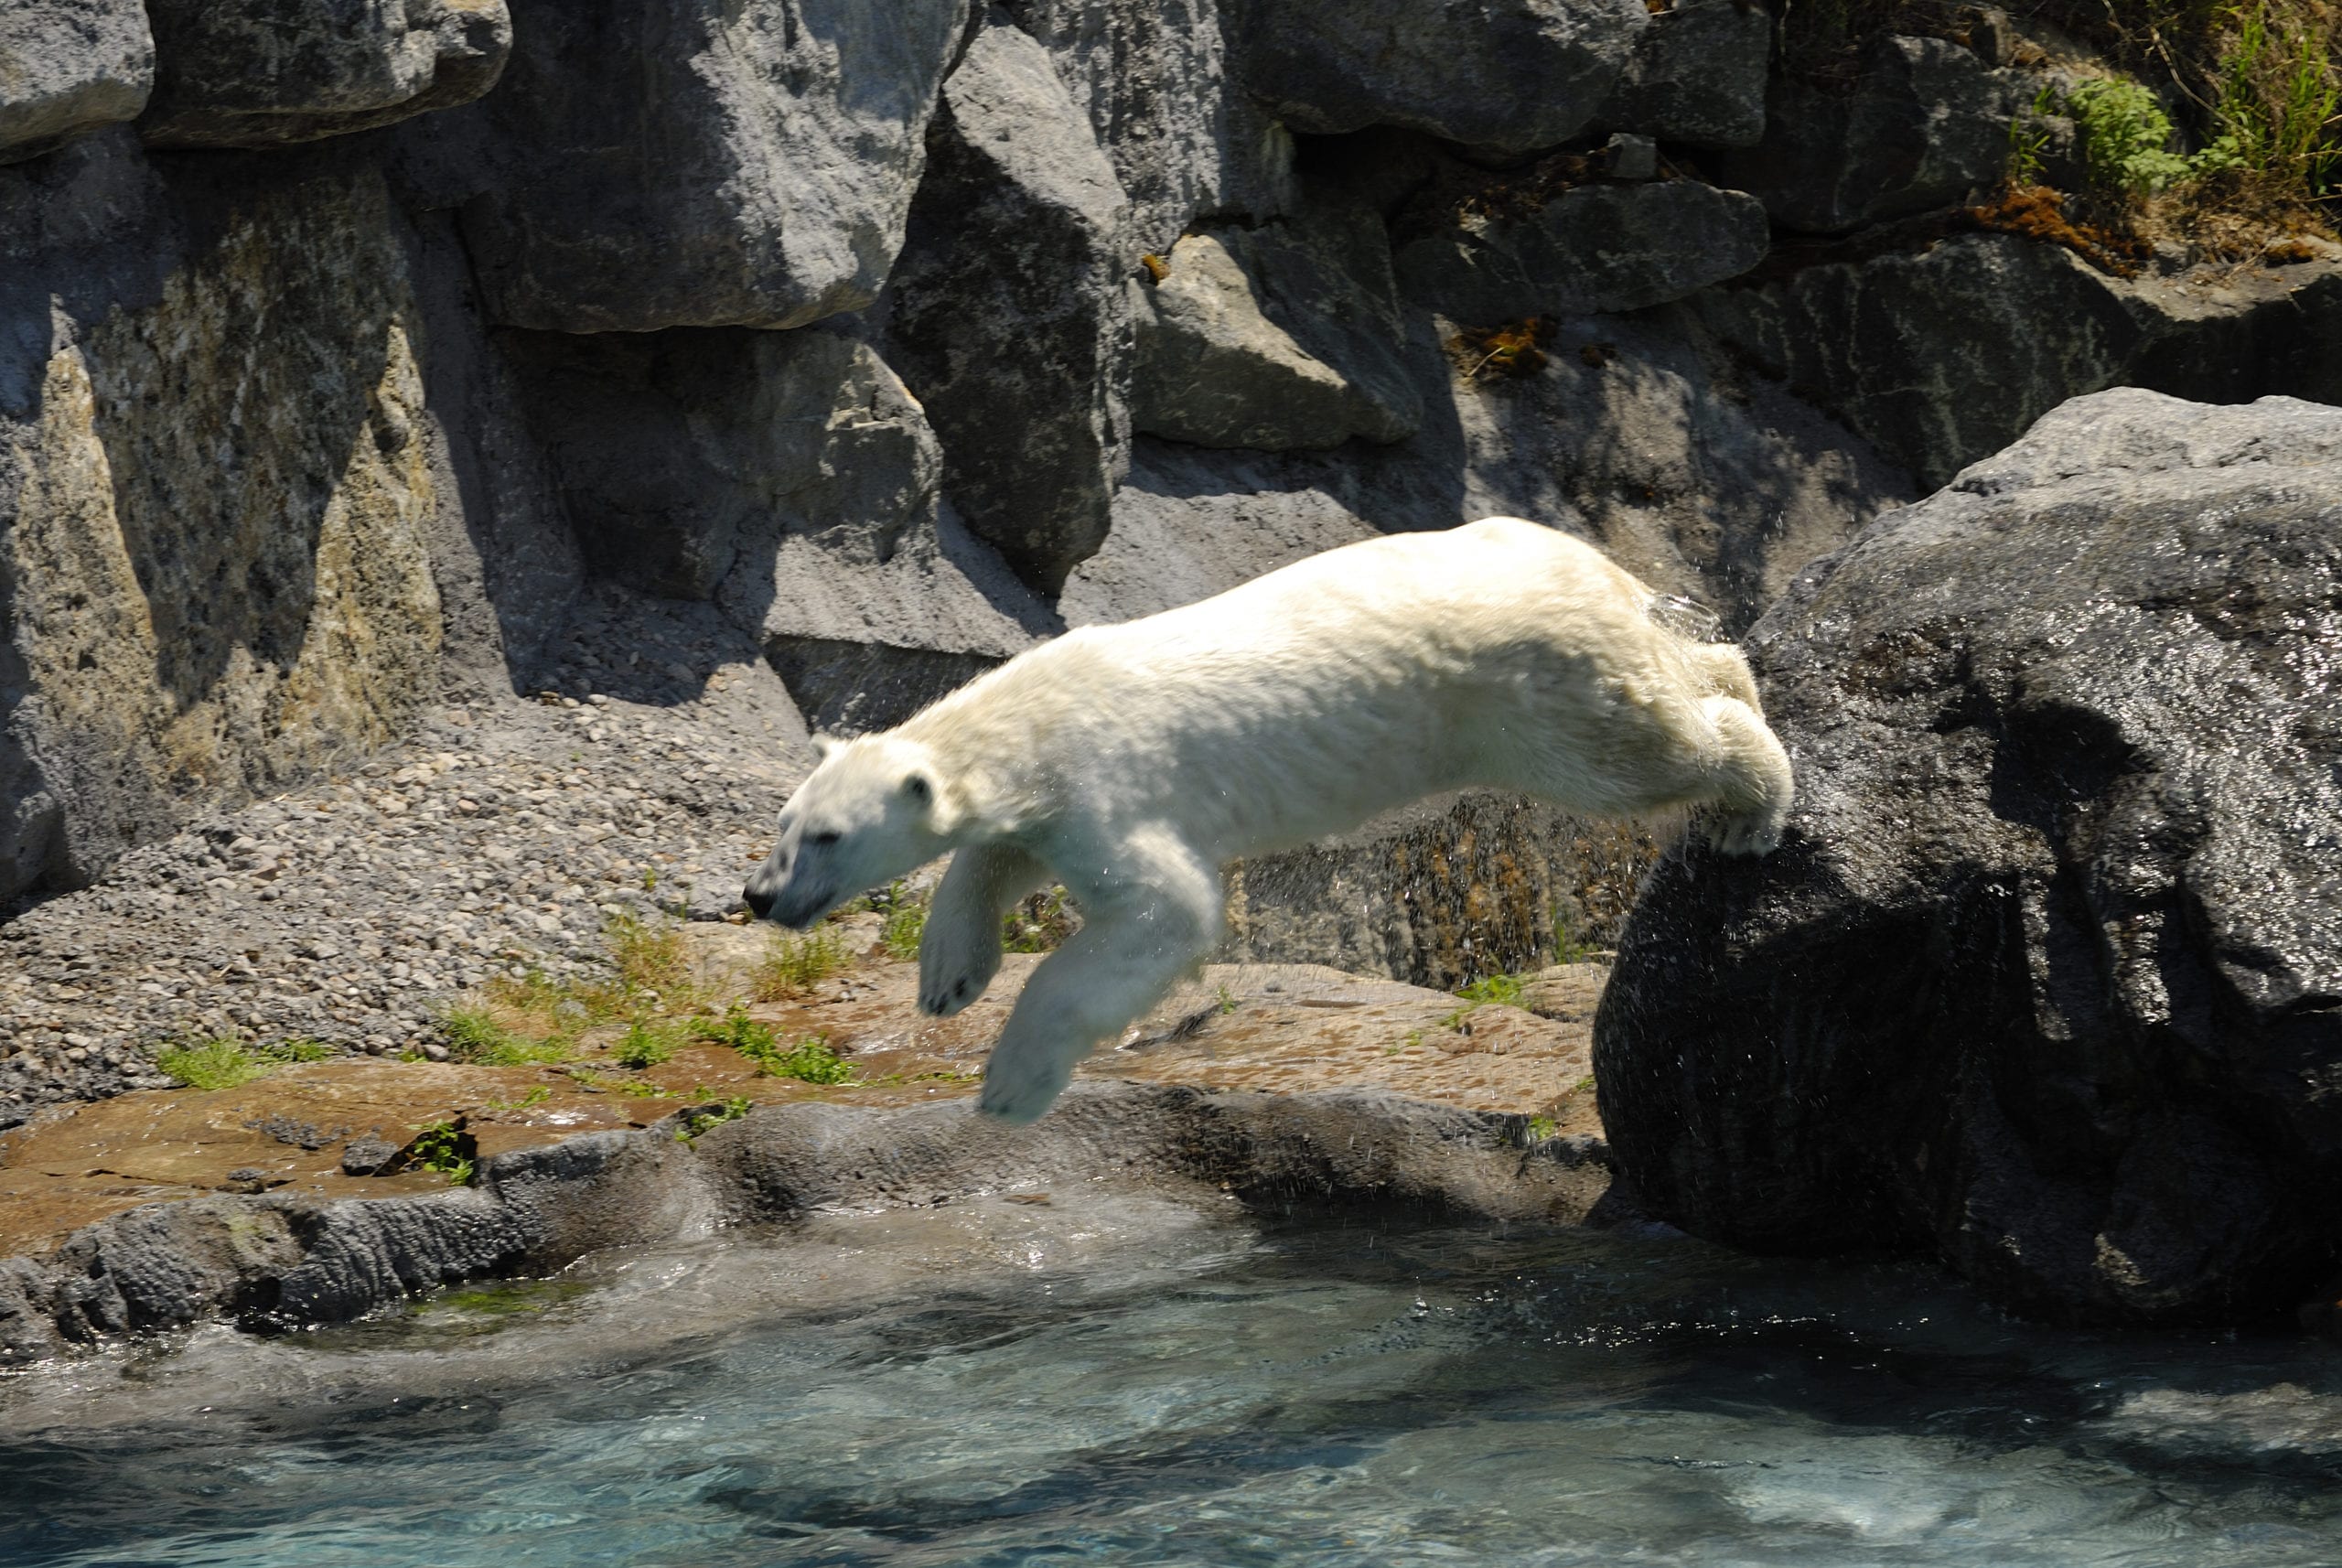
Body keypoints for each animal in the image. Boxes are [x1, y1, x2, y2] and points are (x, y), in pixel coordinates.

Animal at [743, 517, 1793, 1124]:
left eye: (828, 838)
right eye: (785, 823)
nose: (757, 896)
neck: (1034, 716)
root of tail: (1593, 563)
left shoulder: (1111, 787)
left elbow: (1162, 916)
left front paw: (1007, 1086)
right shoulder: (1045, 801)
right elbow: (996, 859)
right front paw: (947, 979)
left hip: (1530, 691)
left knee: (1639, 754)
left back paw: (1751, 800)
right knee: (1678, 677)